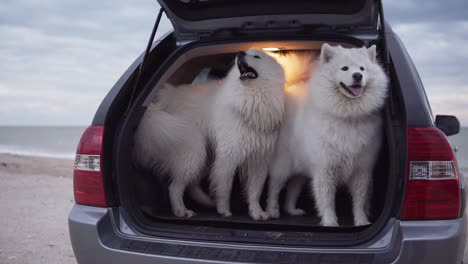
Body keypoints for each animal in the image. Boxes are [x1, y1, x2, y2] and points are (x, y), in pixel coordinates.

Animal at [133, 50, 284, 221]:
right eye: (245, 53)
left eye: (257, 56)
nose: (239, 53)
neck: (252, 100)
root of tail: (166, 99)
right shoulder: (227, 156)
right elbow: (225, 187)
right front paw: (223, 210)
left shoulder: (259, 161)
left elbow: (255, 192)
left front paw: (256, 212)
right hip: (194, 152)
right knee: (175, 187)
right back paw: (181, 211)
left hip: (205, 156)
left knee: (191, 184)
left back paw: (205, 202)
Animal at [266, 44, 388, 226]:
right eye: (344, 68)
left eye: (362, 69)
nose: (358, 76)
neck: (348, 116)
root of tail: (289, 88)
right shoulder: (325, 169)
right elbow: (327, 201)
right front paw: (330, 223)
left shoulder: (362, 170)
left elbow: (360, 200)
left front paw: (362, 222)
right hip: (283, 164)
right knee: (274, 188)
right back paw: (272, 210)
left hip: (301, 168)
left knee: (293, 188)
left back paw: (292, 210)